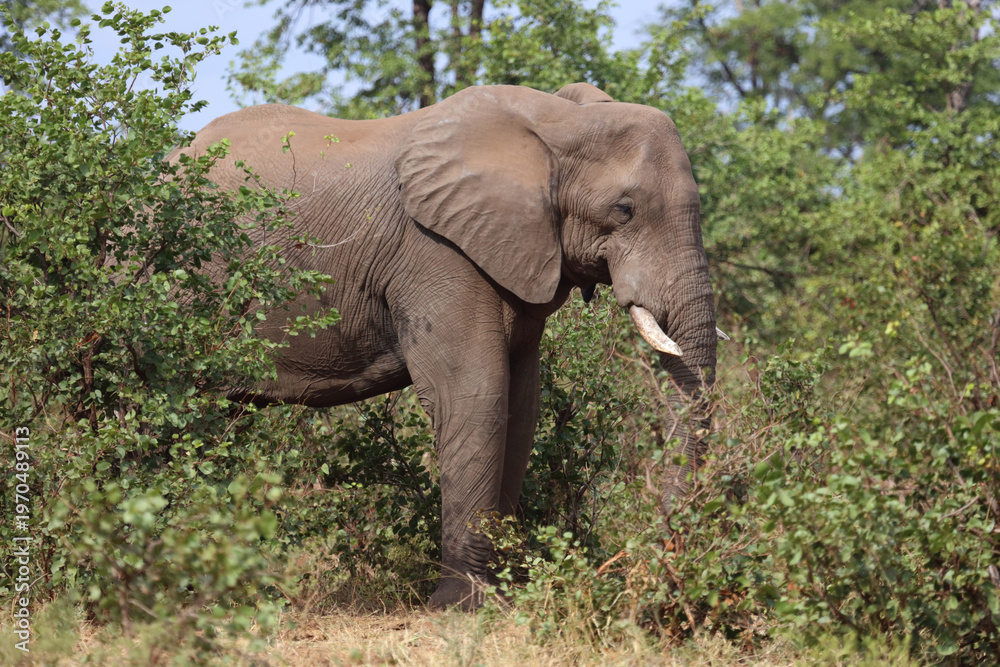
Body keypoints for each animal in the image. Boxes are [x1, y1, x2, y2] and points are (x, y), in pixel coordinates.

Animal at [175, 82, 720, 610]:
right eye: (624, 210)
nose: (659, 576)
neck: (554, 122)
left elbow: (521, 404)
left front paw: (503, 594)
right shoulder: (435, 251)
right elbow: (475, 395)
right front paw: (461, 605)